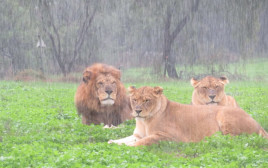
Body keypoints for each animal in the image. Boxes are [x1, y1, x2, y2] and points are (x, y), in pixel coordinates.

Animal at [108, 86, 266, 146]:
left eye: (147, 100)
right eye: (134, 100)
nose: (138, 111)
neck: (144, 121)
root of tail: (258, 123)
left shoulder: (168, 136)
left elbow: (144, 141)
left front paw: (129, 146)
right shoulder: (138, 134)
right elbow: (125, 138)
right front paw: (111, 141)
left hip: (223, 114)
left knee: (234, 140)